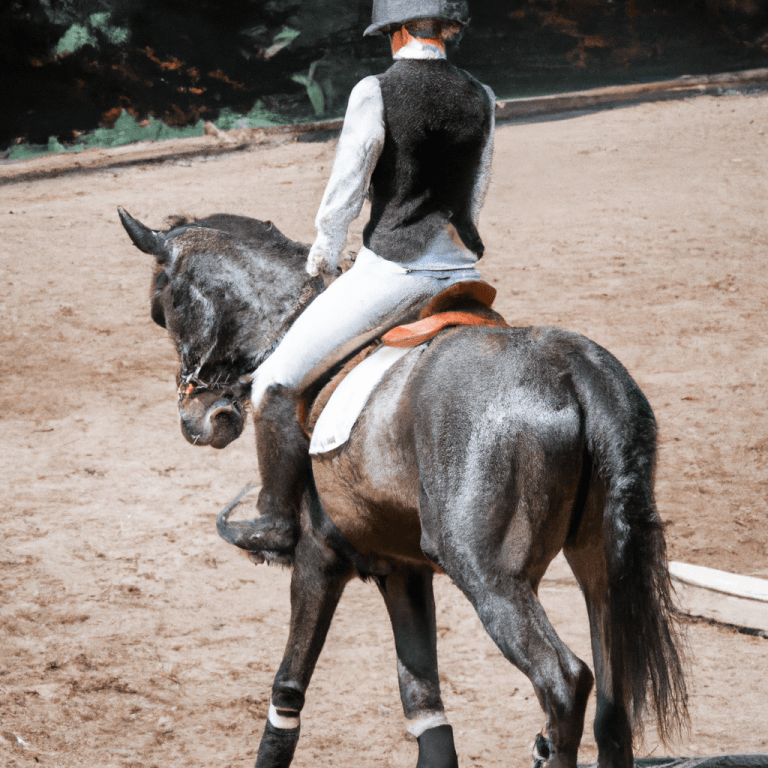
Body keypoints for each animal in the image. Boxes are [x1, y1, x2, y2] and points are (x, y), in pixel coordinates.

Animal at [118, 207, 688, 768]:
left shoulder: (319, 556)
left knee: (564, 682)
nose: (197, 421)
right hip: (599, 567)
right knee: (612, 712)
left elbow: (288, 691)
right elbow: (423, 704)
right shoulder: (402, 569)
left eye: (161, 310)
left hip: (489, 576)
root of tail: (573, 369)